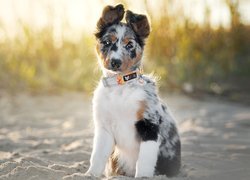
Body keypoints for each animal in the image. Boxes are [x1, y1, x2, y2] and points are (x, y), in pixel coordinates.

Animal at [85, 3, 180, 177]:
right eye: (107, 42)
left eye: (129, 45)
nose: (115, 62)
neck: (120, 87)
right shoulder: (104, 129)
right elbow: (97, 157)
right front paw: (90, 175)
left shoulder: (149, 125)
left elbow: (145, 160)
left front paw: (143, 177)